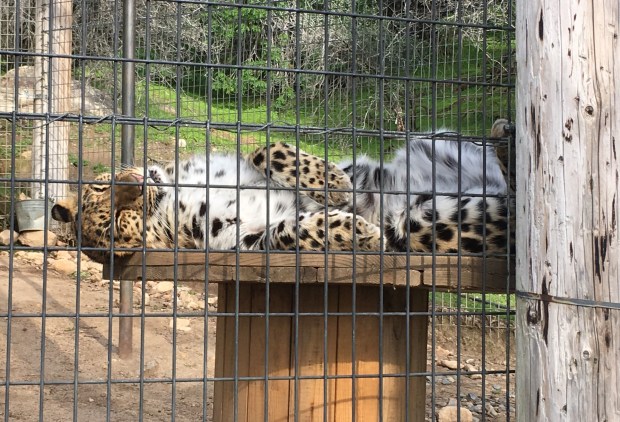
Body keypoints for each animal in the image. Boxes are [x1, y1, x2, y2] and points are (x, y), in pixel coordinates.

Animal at [52, 120, 513, 264]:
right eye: (116, 222)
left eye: (101, 185)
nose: (137, 182)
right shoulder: (238, 241)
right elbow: (288, 232)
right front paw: (358, 230)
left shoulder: (247, 163)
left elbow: (265, 151)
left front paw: (335, 184)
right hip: (427, 222)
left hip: (434, 141)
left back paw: (505, 134)